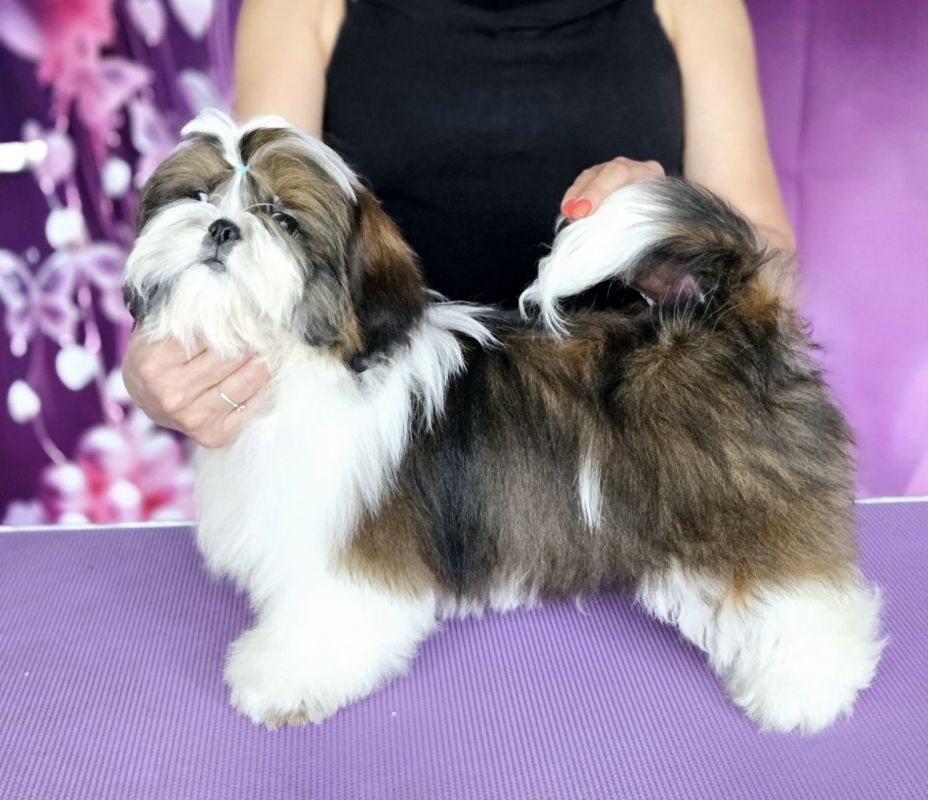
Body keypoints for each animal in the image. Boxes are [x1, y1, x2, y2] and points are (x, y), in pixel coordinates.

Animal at [123, 109, 884, 734]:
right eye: (197, 196)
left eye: (282, 219)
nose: (222, 228)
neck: (303, 357)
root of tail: (736, 321)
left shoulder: (345, 553)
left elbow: (324, 618)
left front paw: (282, 679)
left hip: (745, 512)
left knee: (805, 599)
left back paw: (806, 689)